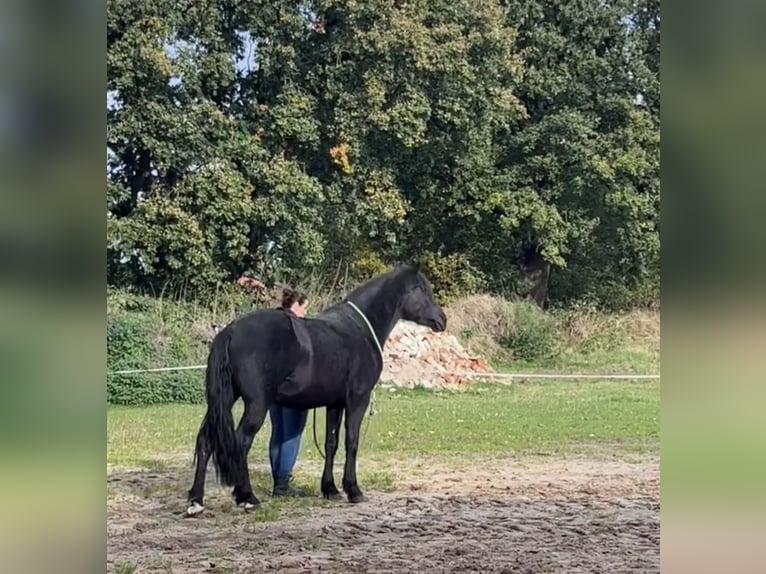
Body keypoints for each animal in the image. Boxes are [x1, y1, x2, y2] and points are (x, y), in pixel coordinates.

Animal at [188, 264, 450, 516]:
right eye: (420, 289)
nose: (442, 319)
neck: (359, 329)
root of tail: (230, 331)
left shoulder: (335, 403)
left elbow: (330, 444)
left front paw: (330, 489)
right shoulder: (357, 400)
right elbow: (351, 442)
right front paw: (353, 490)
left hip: (223, 401)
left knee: (205, 441)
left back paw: (196, 501)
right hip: (256, 405)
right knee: (241, 442)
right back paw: (247, 498)